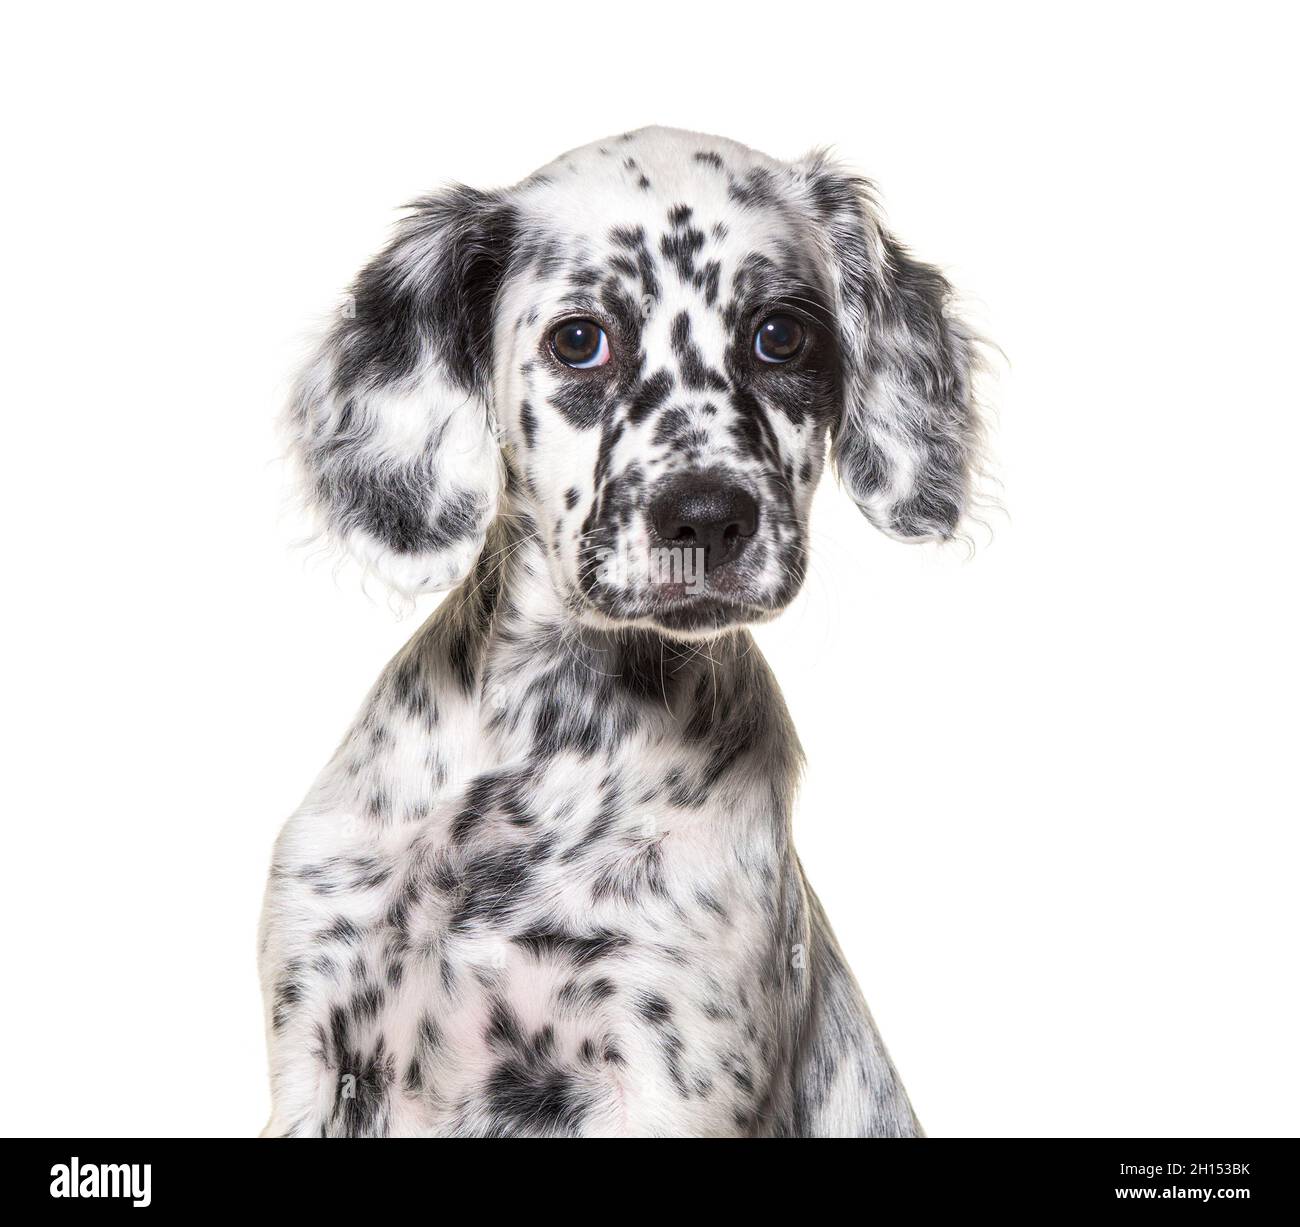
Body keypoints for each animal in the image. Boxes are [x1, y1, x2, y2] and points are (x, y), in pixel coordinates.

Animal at [258, 126, 977, 1138]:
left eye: (780, 335)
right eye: (579, 340)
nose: (708, 516)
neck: (547, 738)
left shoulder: (668, 1058)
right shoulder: (318, 1039)